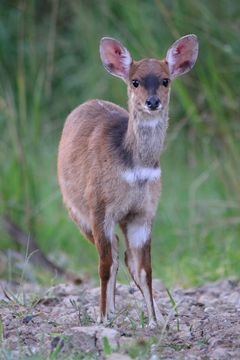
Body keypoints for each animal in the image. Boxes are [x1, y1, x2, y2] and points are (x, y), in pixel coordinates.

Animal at [58, 35, 199, 328]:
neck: (134, 168)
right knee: (111, 256)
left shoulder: (143, 213)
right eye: (135, 81)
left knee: (124, 257)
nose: (153, 102)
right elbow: (104, 265)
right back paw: (109, 312)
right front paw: (102, 318)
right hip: (77, 213)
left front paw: (155, 321)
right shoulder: (99, 208)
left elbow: (145, 268)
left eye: (165, 80)